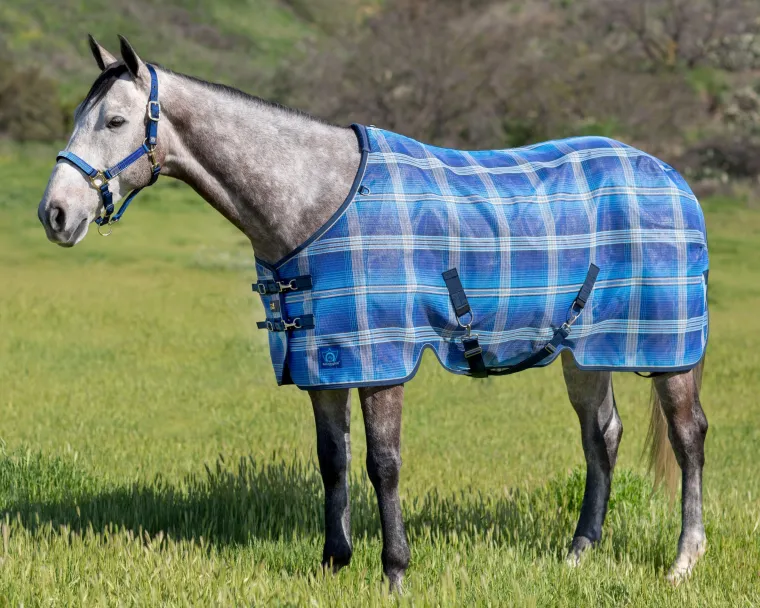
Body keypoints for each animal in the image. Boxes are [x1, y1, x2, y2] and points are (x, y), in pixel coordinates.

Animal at [37, 36, 709, 589]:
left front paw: (395, 571)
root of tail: (672, 178)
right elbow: (332, 462)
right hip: (583, 348)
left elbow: (382, 464)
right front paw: (334, 563)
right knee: (602, 436)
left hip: (669, 351)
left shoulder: (381, 361)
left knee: (688, 437)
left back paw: (683, 561)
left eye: (116, 120)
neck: (316, 202)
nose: (56, 215)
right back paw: (577, 554)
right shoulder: (323, 361)